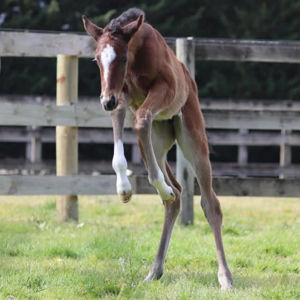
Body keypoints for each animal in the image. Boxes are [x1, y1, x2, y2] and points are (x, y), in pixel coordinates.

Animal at [83, 8, 233, 290]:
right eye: (97, 60)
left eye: (122, 58)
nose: (105, 101)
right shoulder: (121, 97)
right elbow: (123, 129)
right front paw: (124, 190)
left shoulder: (165, 87)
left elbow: (141, 119)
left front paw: (150, 187)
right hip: (157, 139)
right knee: (175, 194)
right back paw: (154, 270)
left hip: (192, 137)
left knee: (210, 204)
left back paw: (225, 277)